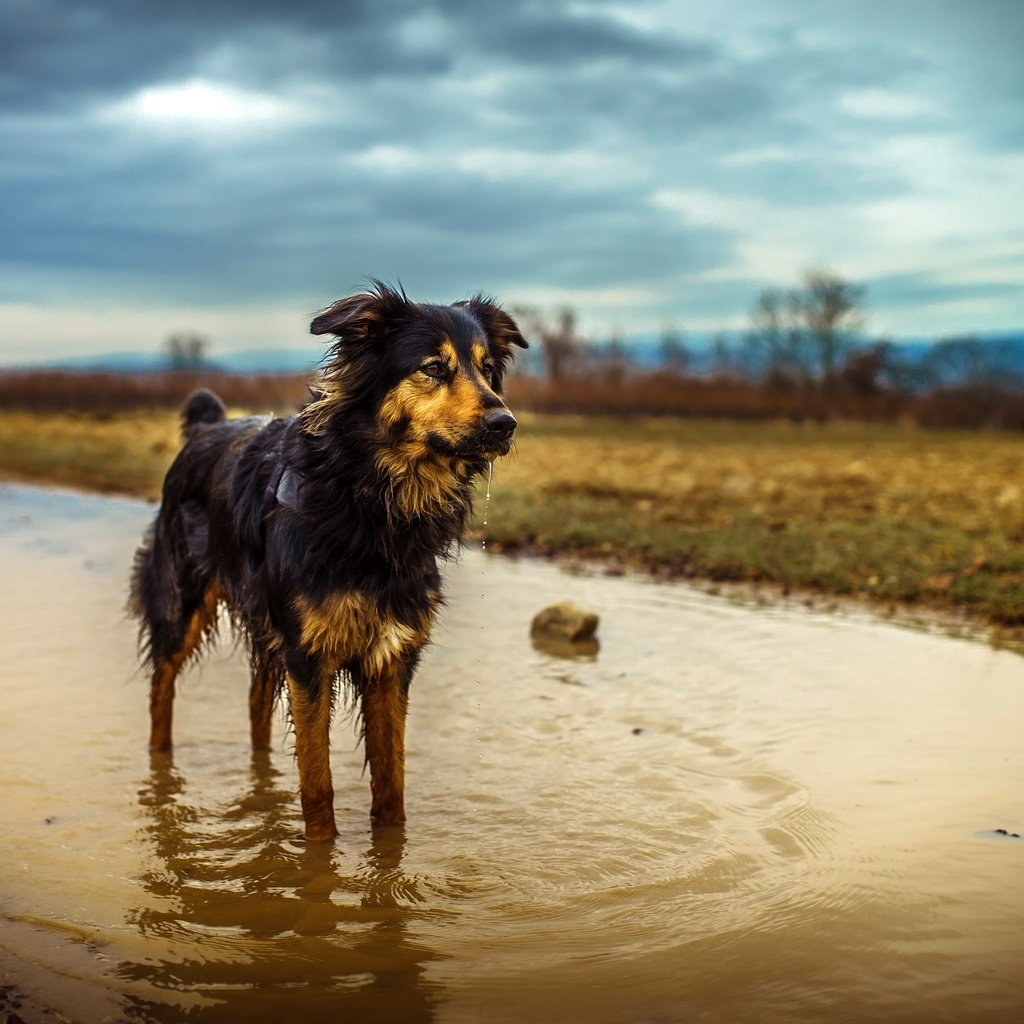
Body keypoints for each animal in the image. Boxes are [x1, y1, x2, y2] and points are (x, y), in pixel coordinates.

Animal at [129, 282, 528, 839]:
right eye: (433, 367)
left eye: (486, 368)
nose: (505, 423)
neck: (372, 503)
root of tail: (208, 427)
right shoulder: (310, 656)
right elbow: (318, 788)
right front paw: (320, 857)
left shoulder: (391, 657)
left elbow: (391, 784)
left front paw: (390, 850)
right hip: (181, 602)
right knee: (160, 693)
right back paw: (160, 781)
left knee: (255, 703)